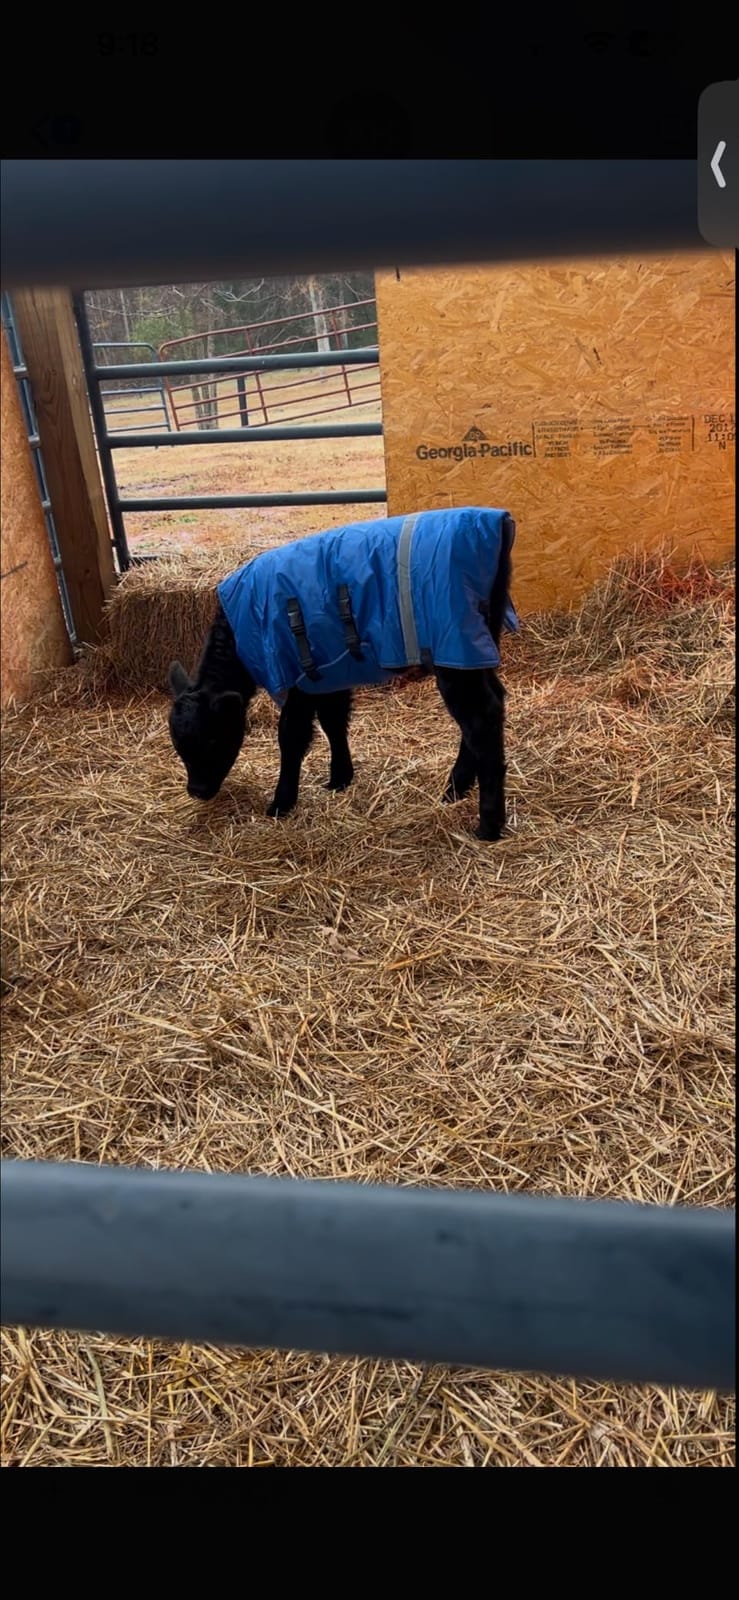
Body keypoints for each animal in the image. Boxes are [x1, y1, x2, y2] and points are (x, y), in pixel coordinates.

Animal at [167, 508, 516, 841]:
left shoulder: (299, 679)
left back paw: (488, 823)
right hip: (478, 643)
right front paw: (340, 778)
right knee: (488, 708)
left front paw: (281, 803)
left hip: (455, 647)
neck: (245, 626)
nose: (197, 791)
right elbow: (333, 722)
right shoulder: (328, 675)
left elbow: (292, 737)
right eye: (178, 746)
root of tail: (496, 520)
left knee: (480, 718)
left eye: (213, 738)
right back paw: (456, 790)